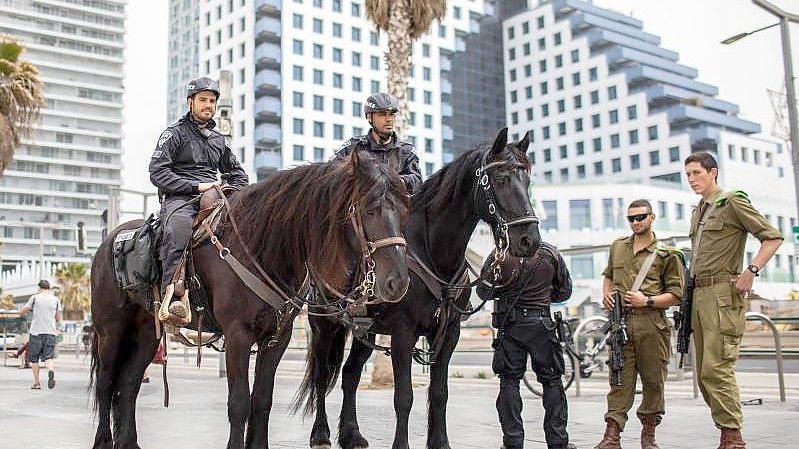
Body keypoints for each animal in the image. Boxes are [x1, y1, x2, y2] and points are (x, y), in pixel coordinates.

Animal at [90, 150, 410, 448]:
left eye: (404, 212)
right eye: (370, 210)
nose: (398, 281)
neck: (261, 250)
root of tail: (109, 242)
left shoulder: (276, 339)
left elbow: (262, 400)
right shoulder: (237, 336)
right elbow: (239, 403)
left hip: (146, 331)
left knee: (129, 383)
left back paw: (128, 442)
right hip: (110, 330)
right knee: (106, 382)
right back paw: (104, 441)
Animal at [300, 128, 544, 446]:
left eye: (526, 179)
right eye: (501, 178)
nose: (529, 239)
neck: (432, 251)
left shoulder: (449, 333)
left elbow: (440, 393)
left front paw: (440, 442)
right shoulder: (403, 333)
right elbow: (403, 397)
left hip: (365, 331)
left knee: (350, 373)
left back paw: (352, 434)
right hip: (324, 324)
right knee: (321, 376)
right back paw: (321, 433)